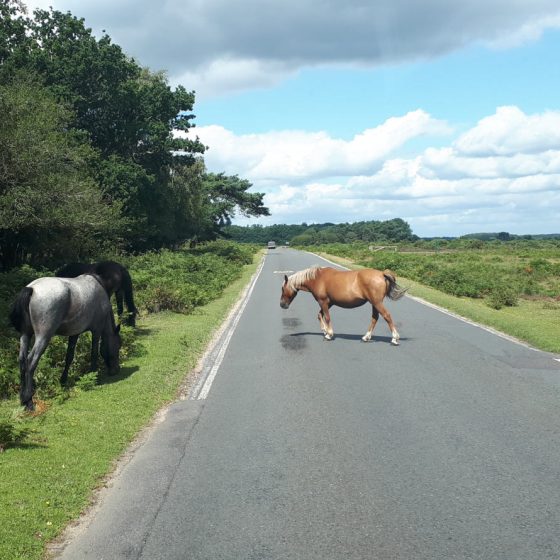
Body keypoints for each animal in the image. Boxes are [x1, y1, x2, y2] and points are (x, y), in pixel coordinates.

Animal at [9, 274, 120, 410]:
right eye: (118, 346)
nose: (116, 370)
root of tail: (31, 288)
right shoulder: (96, 331)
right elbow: (94, 353)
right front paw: (93, 375)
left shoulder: (74, 333)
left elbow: (69, 357)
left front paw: (63, 380)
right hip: (43, 337)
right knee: (30, 362)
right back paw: (29, 401)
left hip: (26, 335)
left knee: (22, 360)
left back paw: (22, 399)